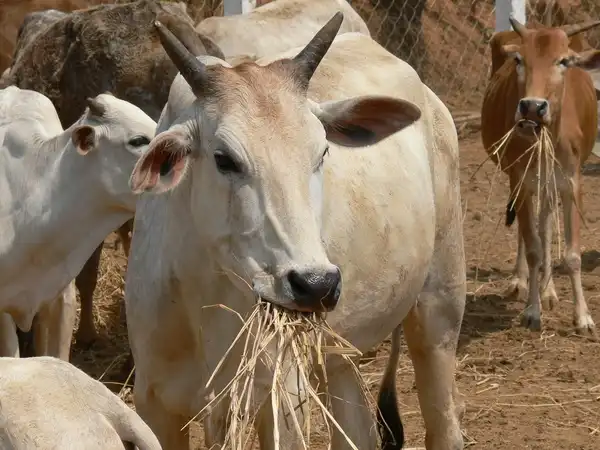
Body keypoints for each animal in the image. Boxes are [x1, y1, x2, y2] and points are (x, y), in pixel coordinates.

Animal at [125, 13, 464, 450]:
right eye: (224, 158)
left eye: (322, 153)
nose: (316, 284)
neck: (205, 295)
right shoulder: (155, 403)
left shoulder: (282, 402)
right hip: (340, 356)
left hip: (440, 306)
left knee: (443, 424)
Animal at [480, 15, 600, 334]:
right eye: (520, 60)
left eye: (564, 61)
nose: (532, 107)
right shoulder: (520, 178)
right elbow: (532, 244)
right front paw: (532, 311)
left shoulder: (572, 182)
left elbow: (571, 254)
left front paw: (583, 316)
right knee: (528, 232)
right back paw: (521, 282)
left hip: (548, 182)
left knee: (545, 222)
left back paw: (549, 291)